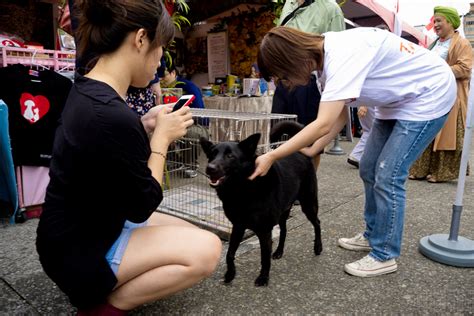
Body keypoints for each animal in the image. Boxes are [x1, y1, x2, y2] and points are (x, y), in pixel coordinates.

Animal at [200, 121, 322, 286]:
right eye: (212, 154)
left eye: (230, 156)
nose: (210, 168)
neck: (241, 189)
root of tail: (302, 153)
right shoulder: (238, 226)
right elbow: (229, 254)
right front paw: (230, 274)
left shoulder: (264, 230)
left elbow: (264, 257)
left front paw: (263, 278)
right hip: (283, 212)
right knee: (284, 230)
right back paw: (279, 252)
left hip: (308, 204)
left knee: (317, 223)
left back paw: (318, 247)